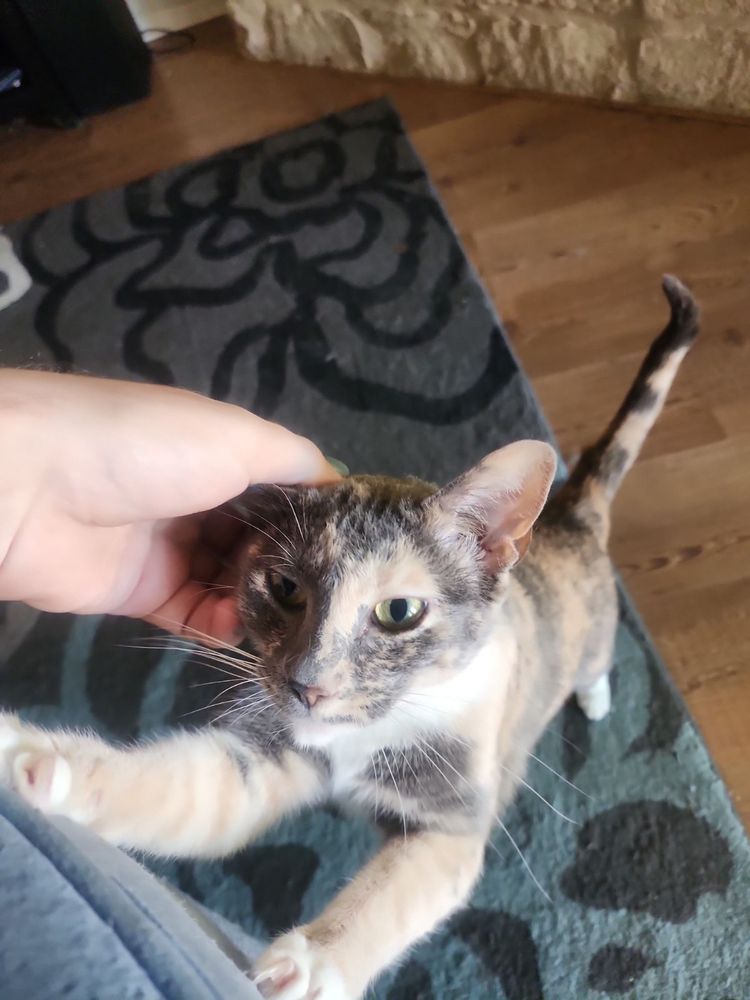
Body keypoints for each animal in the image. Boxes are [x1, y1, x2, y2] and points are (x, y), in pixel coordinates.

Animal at [0, 275, 699, 1000]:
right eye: (285, 587)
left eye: (399, 611)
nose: (309, 685)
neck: (362, 737)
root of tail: (570, 513)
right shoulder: (268, 756)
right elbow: (192, 792)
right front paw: (39, 760)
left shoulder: (452, 817)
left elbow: (396, 892)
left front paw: (310, 965)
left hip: (591, 633)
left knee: (595, 661)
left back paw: (594, 697)